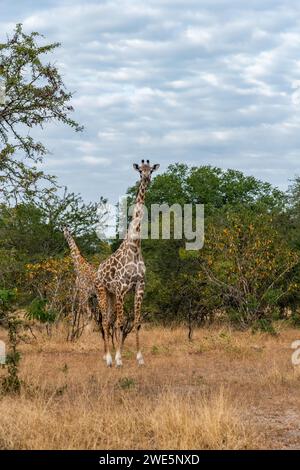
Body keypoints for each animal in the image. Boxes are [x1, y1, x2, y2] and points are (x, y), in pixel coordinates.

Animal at [98, 160, 159, 370]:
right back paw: (108, 359)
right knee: (105, 322)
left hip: (110, 294)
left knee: (108, 321)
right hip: (102, 291)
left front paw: (140, 358)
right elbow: (120, 322)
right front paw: (118, 359)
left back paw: (108, 356)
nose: (146, 179)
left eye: (151, 171)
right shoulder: (122, 288)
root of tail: (98, 269)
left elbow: (137, 321)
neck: (135, 245)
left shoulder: (140, 285)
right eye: (140, 171)